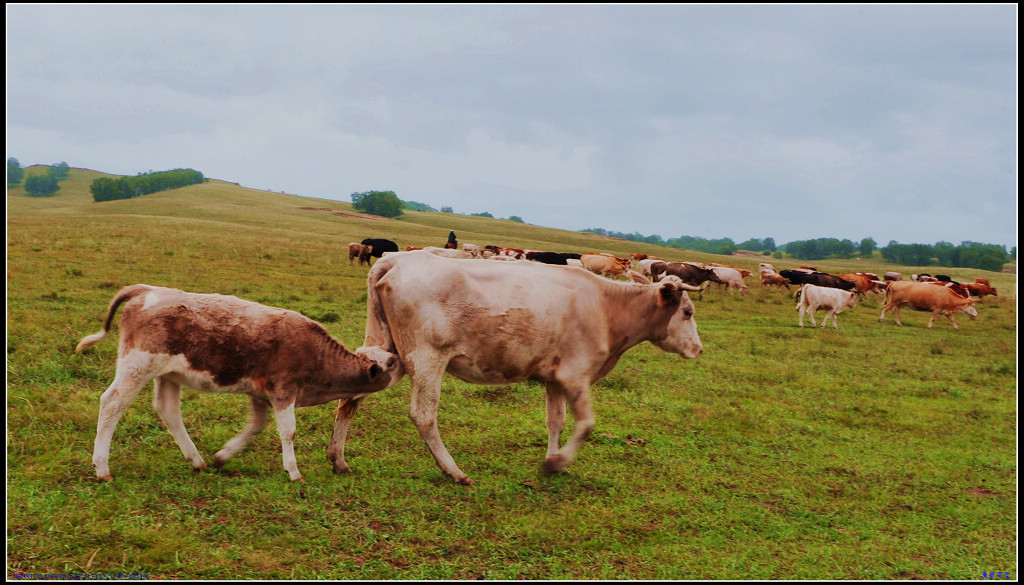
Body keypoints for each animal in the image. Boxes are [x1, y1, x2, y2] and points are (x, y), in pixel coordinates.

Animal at [74, 286, 401, 483]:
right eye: (392, 363)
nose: (402, 356)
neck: (316, 353)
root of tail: (146, 290)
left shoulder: (260, 393)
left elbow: (255, 426)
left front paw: (223, 455)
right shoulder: (284, 390)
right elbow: (289, 431)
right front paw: (294, 471)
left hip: (168, 375)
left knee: (169, 412)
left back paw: (197, 461)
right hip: (137, 366)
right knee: (112, 402)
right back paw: (102, 468)